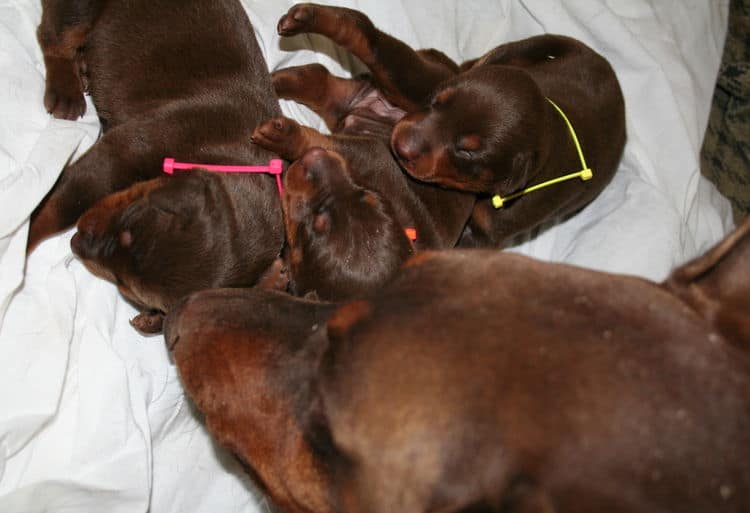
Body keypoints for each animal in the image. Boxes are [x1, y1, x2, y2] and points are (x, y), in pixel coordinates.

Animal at [32, 0, 286, 328]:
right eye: (131, 216)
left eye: (124, 286)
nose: (78, 242)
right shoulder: (125, 152)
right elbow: (60, 206)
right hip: (81, 10)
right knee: (55, 36)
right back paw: (67, 89)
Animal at [276, 2, 628, 246]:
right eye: (437, 104)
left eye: (467, 152)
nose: (400, 146)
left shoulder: (484, 234)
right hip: (432, 81)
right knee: (373, 42)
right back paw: (309, 21)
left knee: (326, 74)